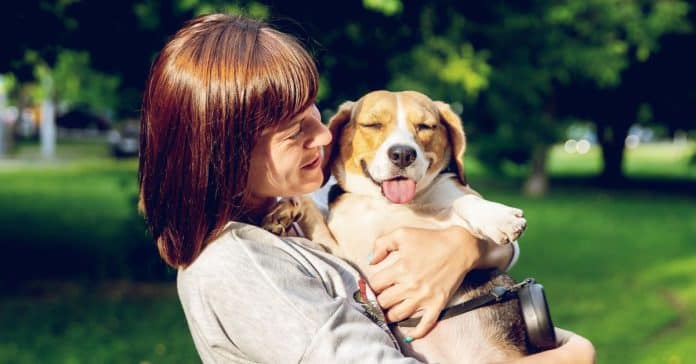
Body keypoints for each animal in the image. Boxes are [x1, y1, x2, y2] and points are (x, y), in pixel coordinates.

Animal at [264, 89, 532, 362]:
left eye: (425, 126)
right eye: (373, 125)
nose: (403, 154)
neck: (389, 205)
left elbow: (462, 201)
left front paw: (499, 218)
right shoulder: (342, 251)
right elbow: (306, 203)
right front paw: (281, 213)